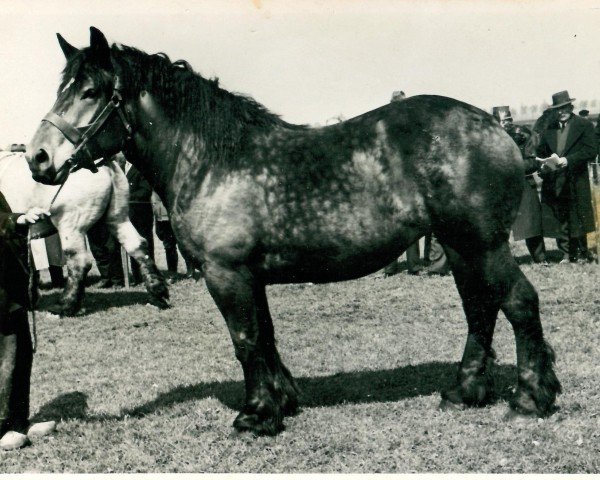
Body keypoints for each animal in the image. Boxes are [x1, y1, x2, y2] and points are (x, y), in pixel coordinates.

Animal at [0, 151, 169, 316]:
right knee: (138, 245)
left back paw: (63, 306)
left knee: (79, 262)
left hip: (71, 224)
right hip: (118, 216)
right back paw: (158, 294)